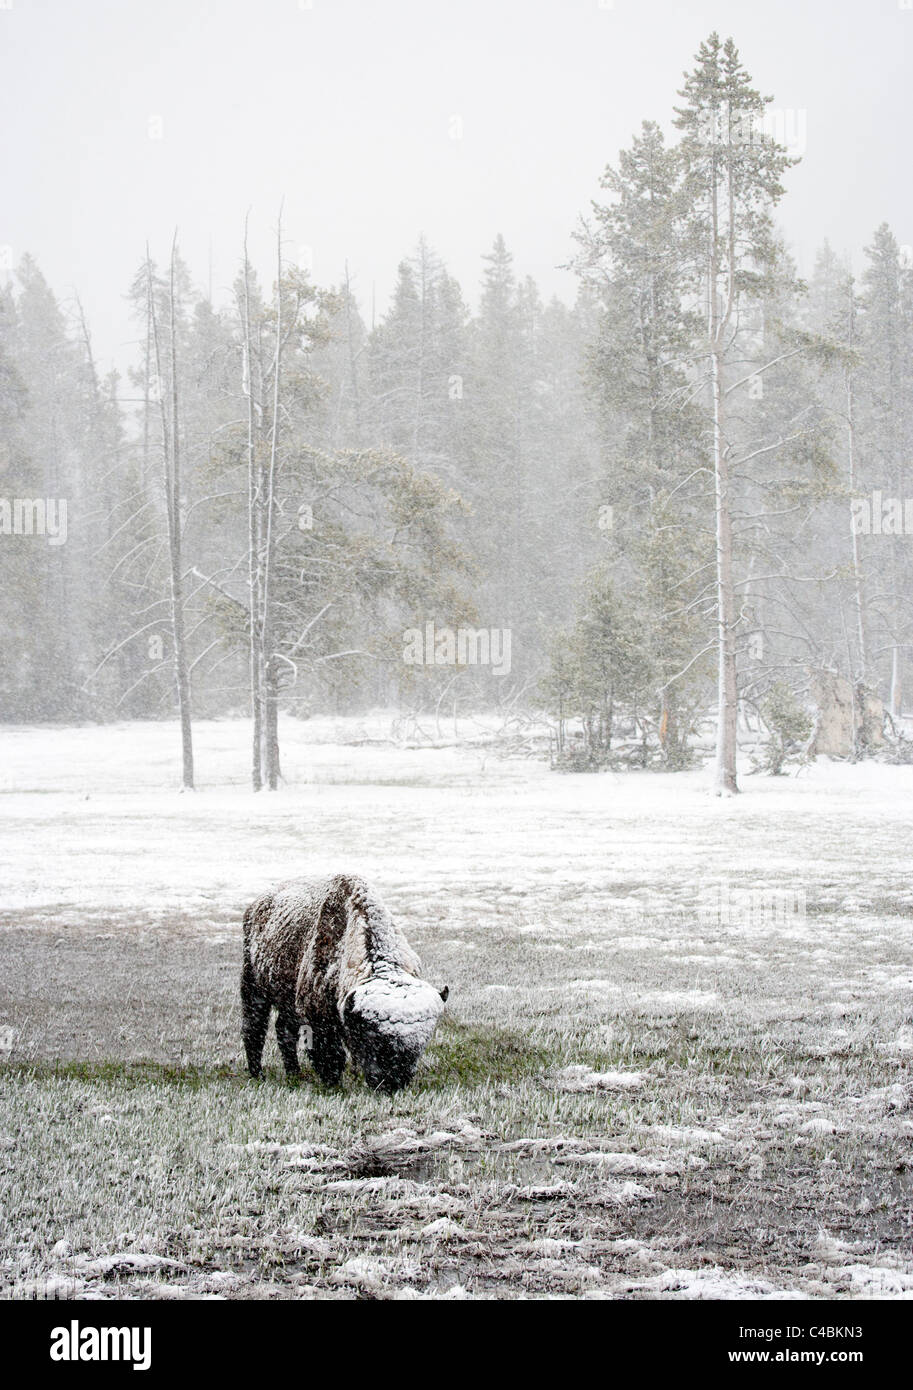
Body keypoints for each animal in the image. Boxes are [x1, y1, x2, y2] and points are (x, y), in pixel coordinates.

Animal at [239, 872, 444, 1089]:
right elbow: (331, 1055)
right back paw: (258, 1074)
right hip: (253, 987)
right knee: (254, 1028)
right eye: (372, 1036)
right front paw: (332, 1084)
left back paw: (294, 1074)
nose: (392, 1082)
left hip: (287, 1002)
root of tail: (254, 907)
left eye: (421, 1044)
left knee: (283, 1031)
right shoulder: (317, 1017)